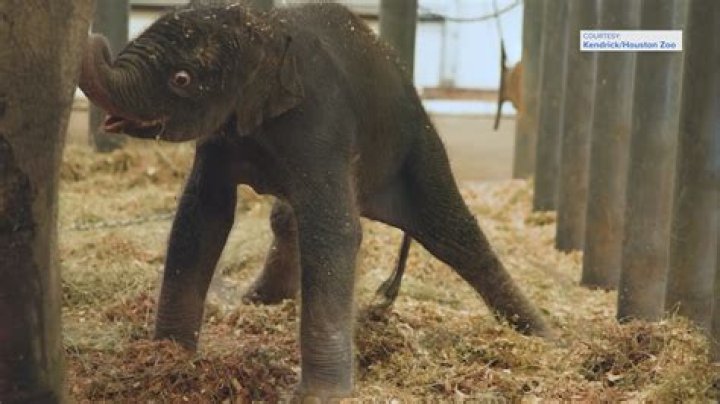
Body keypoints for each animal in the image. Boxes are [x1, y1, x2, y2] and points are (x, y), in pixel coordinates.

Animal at [78, 2, 551, 400]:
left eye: (181, 80)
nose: (94, 36)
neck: (263, 27)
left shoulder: (321, 121)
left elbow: (334, 230)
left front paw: (320, 395)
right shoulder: (220, 137)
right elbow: (202, 216)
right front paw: (168, 357)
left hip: (416, 142)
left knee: (453, 233)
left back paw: (543, 337)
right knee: (287, 219)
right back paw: (259, 301)